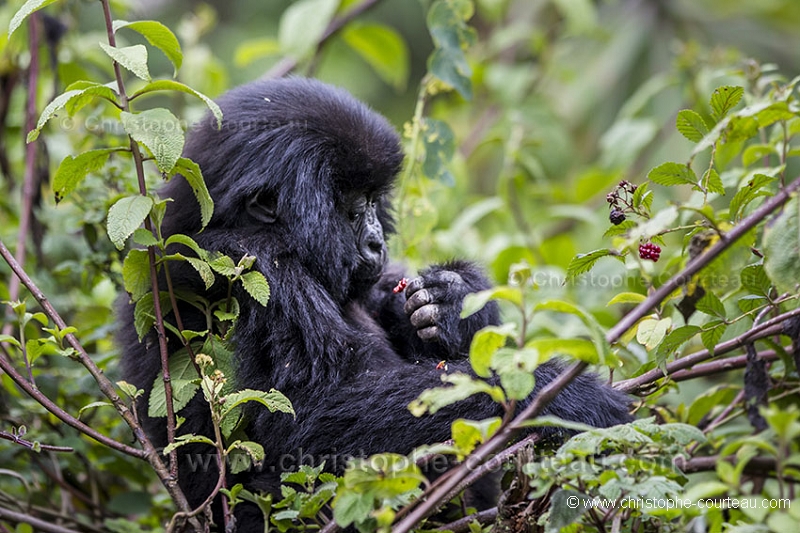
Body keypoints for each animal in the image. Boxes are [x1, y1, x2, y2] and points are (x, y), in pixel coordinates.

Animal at [117, 77, 632, 528]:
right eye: (351, 206)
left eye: (372, 199)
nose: (376, 242)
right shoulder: (251, 268)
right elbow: (312, 424)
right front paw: (565, 399)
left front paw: (453, 303)